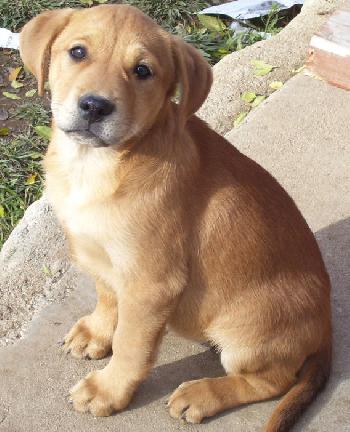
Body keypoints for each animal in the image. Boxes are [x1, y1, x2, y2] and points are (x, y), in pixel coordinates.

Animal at [19, 4, 330, 432]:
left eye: (143, 71)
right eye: (78, 52)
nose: (95, 106)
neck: (95, 165)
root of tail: (326, 327)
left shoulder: (152, 283)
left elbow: (131, 346)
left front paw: (107, 391)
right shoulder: (100, 256)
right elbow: (106, 295)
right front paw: (97, 333)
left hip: (247, 330)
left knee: (273, 381)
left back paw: (202, 394)